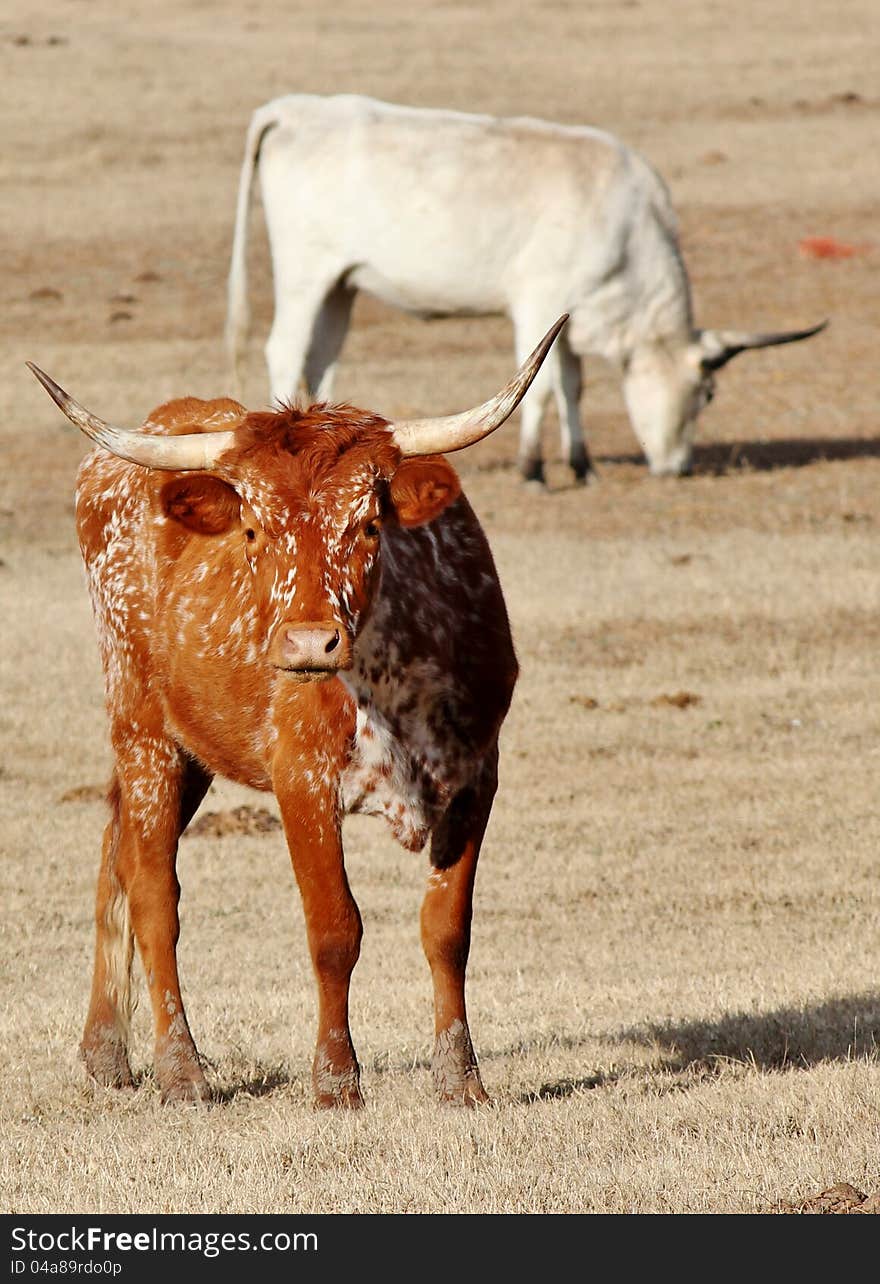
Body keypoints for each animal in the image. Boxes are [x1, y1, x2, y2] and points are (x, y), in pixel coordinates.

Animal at [27, 315, 565, 1109]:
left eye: (368, 524)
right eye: (253, 530)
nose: (310, 642)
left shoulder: (476, 774)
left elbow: (447, 929)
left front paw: (460, 1080)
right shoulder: (301, 779)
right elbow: (334, 929)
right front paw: (336, 1081)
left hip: (189, 749)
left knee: (113, 854)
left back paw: (105, 1054)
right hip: (142, 731)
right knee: (153, 891)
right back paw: (179, 1069)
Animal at [223, 93, 827, 485]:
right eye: (707, 393)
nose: (678, 470)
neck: (625, 221)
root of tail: (289, 110)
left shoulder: (569, 316)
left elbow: (573, 386)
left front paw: (583, 466)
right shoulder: (539, 303)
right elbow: (539, 389)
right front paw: (533, 470)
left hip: (341, 286)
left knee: (320, 359)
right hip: (305, 274)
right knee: (285, 351)